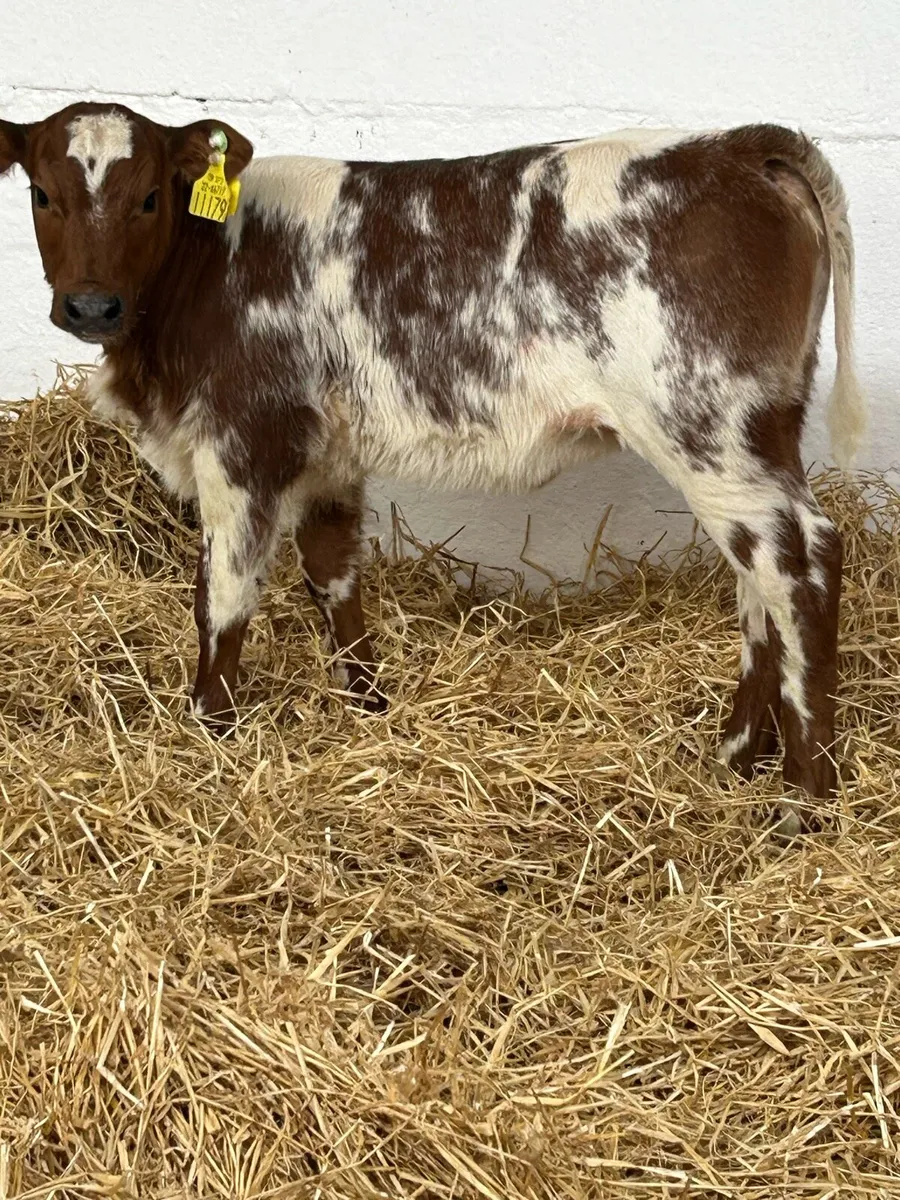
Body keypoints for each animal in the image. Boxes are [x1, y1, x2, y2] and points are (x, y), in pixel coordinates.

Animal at [0, 102, 867, 803]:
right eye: (41, 194)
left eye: (149, 196)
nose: (90, 306)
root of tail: (740, 144)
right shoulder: (330, 453)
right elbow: (333, 573)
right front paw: (367, 706)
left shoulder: (243, 442)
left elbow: (223, 597)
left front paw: (209, 730)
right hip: (756, 430)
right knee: (758, 582)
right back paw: (735, 756)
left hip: (704, 424)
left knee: (801, 563)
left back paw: (803, 795)